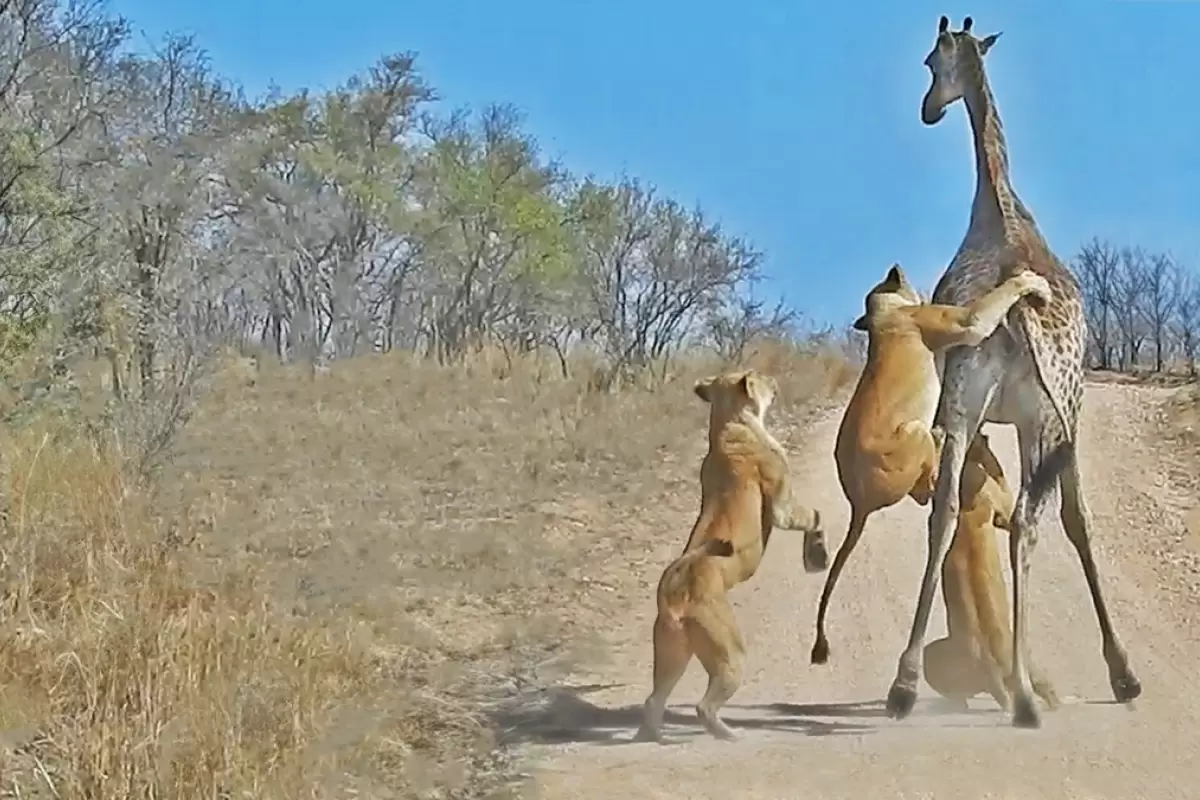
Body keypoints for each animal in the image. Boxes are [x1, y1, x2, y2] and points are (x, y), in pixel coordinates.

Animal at [888, 15, 1137, 729]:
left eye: (929, 61)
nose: (928, 109)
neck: (999, 203)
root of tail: (1021, 315)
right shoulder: (1053, 416)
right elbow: (1074, 521)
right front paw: (1121, 672)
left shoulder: (982, 411)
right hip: (1039, 417)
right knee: (1028, 521)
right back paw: (1022, 692)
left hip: (979, 404)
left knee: (956, 513)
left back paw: (914, 685)